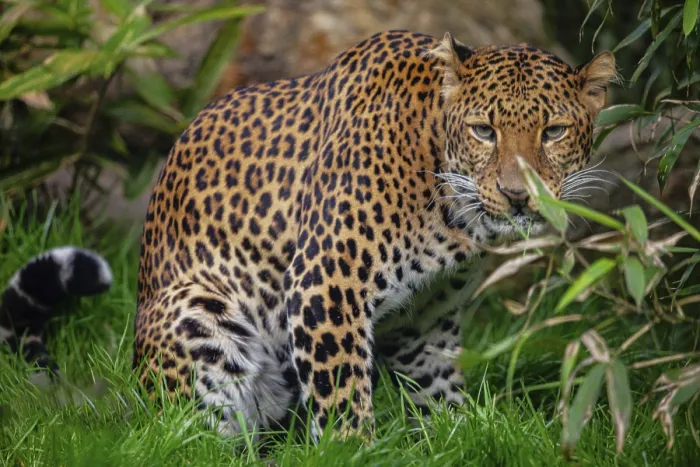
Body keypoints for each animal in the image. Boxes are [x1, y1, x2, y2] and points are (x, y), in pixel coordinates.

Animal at [132, 29, 617, 440]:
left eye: (553, 132)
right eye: (483, 130)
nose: (517, 196)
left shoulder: (425, 316)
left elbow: (438, 391)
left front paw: (458, 437)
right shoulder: (323, 283)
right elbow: (342, 393)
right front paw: (352, 448)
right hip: (196, 315)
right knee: (192, 436)